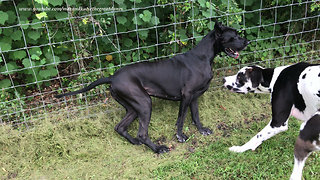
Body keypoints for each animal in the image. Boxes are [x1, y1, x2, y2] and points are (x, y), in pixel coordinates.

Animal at [55, 21, 250, 153]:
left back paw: (135, 142)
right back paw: (157, 148)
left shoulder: (194, 97)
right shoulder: (186, 95)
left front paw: (202, 130)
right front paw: (180, 137)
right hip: (144, 103)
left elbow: (195, 115)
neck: (203, 57)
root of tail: (112, 77)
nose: (247, 42)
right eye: (233, 36)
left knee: (120, 127)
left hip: (133, 107)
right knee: (142, 133)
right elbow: (181, 118)